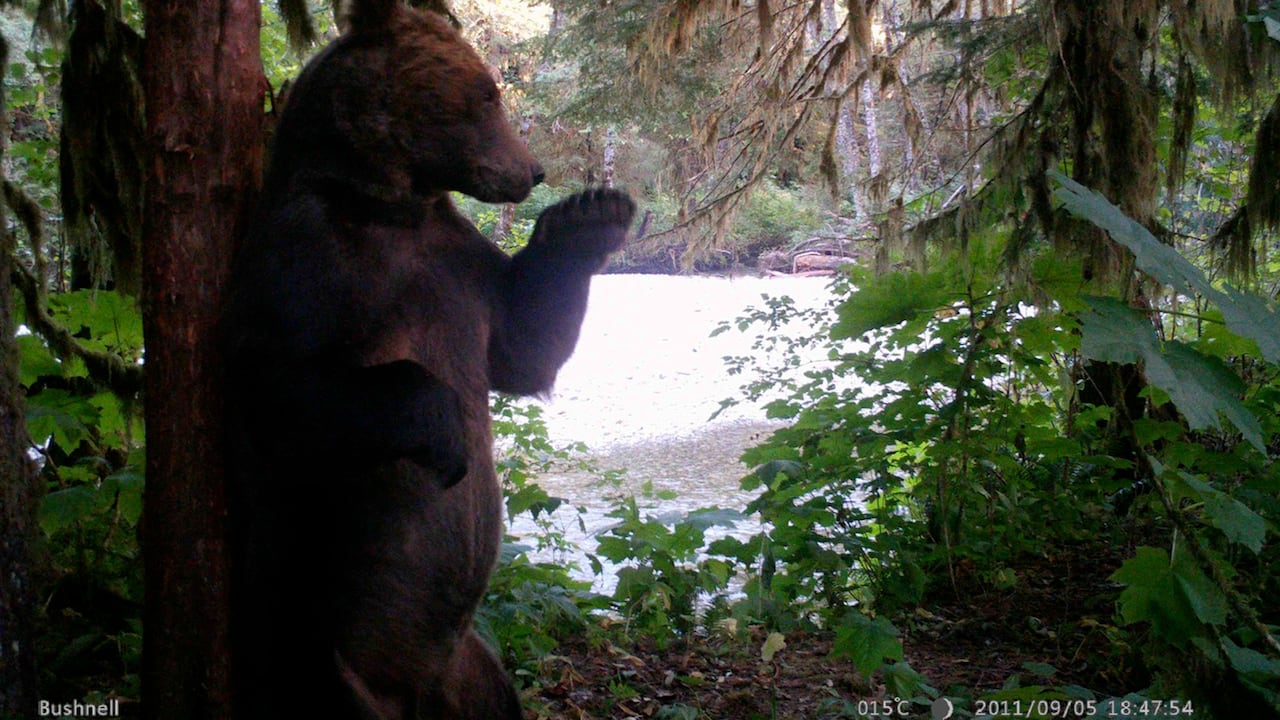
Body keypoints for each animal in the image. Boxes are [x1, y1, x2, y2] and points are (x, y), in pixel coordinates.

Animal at [221, 1, 635, 718]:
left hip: (468, 661)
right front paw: (444, 428)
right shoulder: (307, 252)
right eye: (488, 95)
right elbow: (276, 381)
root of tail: (408, 688)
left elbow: (520, 351)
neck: (389, 205)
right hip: (317, 633)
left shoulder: (453, 260)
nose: (532, 172)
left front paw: (590, 214)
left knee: (493, 692)